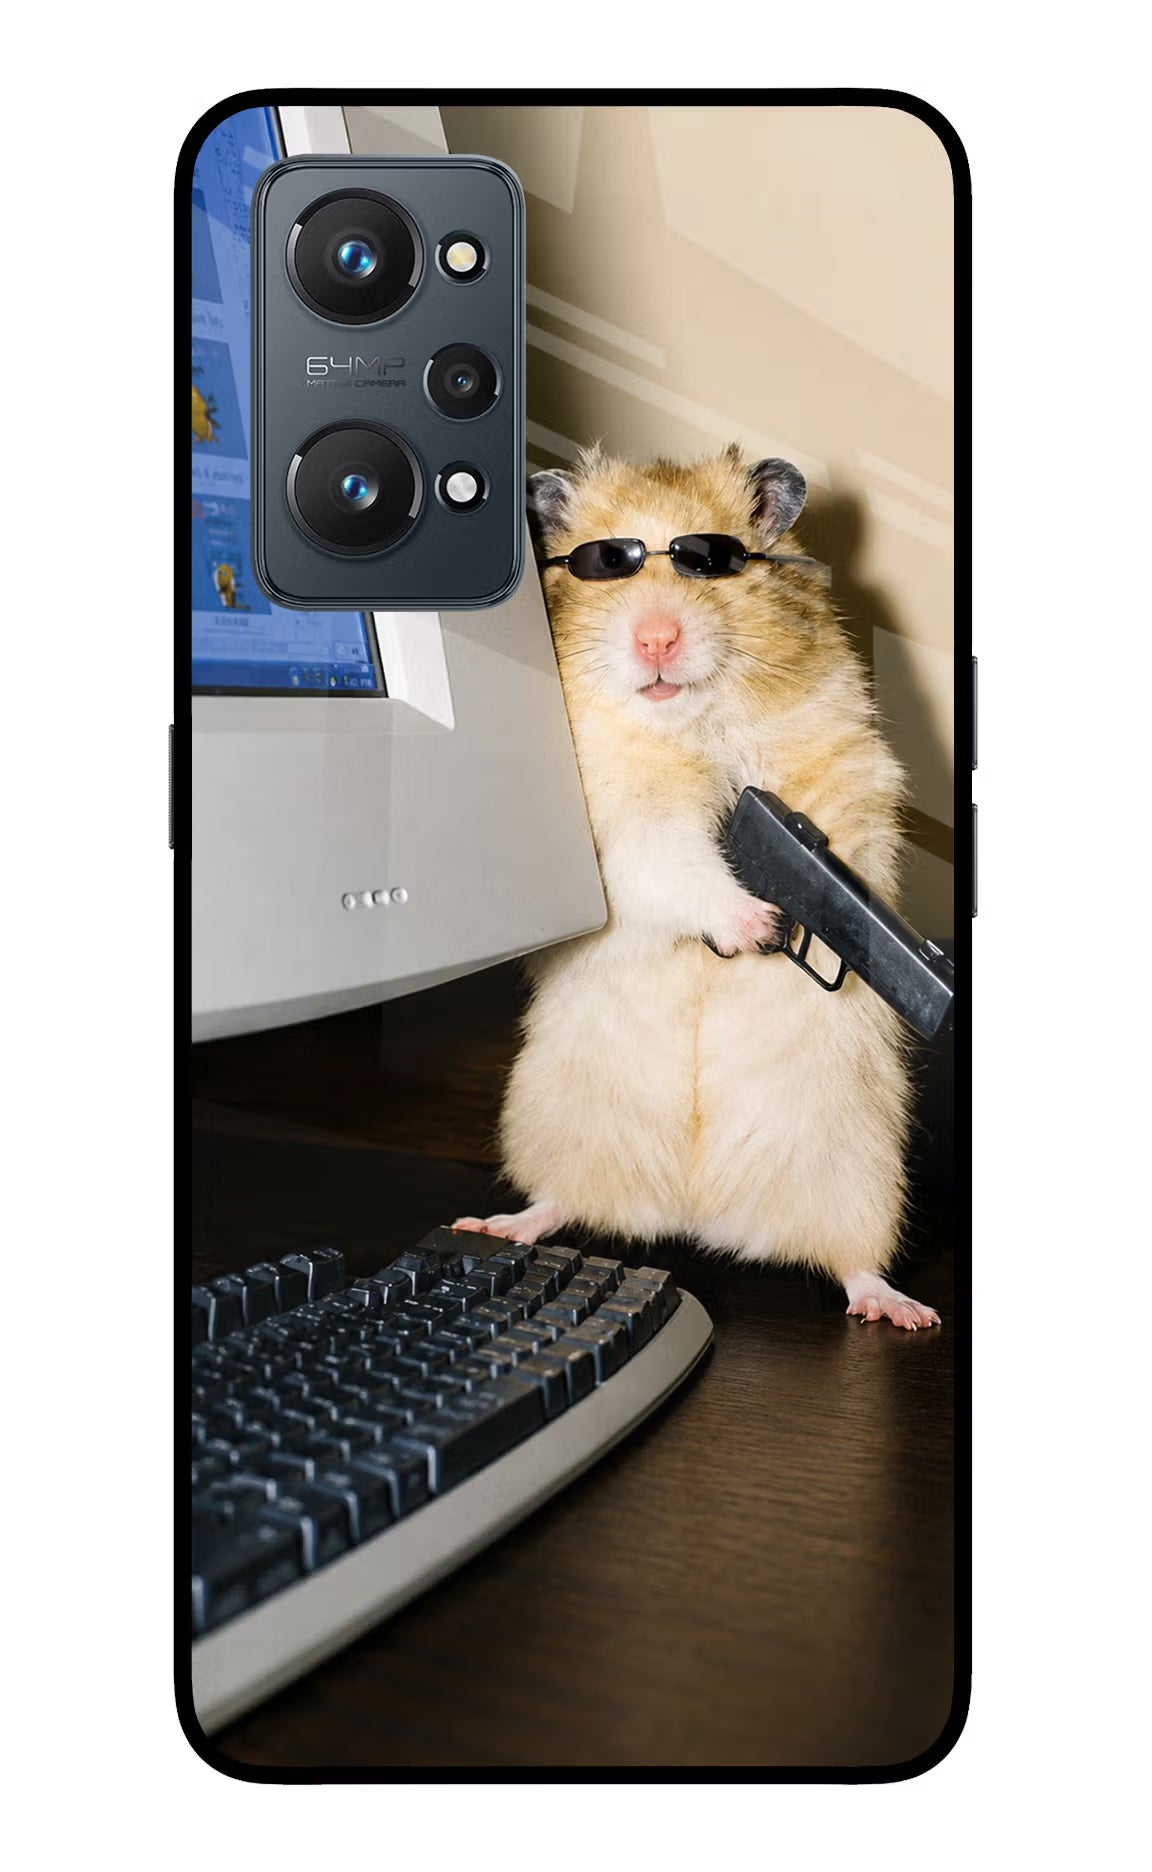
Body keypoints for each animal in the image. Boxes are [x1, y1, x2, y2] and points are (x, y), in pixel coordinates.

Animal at [456, 445, 940, 1329]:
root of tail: (694, 1212)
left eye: (708, 561)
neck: (690, 723)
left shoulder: (842, 764)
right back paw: (498, 1224)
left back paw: (901, 1310)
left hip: (856, 1168)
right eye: (606, 564)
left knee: (852, 1261)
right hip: (556, 1118)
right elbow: (675, 862)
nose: (656, 638)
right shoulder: (621, 819)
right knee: (560, 1200)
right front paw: (756, 925)